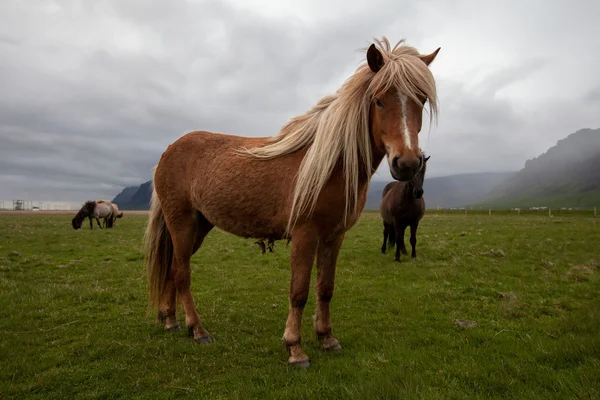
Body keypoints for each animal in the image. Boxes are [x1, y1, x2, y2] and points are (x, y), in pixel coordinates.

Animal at [142, 36, 440, 368]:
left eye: (421, 100)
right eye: (378, 100)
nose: (407, 163)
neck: (330, 164)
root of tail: (168, 151)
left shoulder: (334, 237)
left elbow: (325, 288)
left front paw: (326, 338)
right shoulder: (304, 234)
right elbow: (299, 291)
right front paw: (295, 349)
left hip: (198, 226)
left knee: (172, 269)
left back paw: (171, 320)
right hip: (181, 222)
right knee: (182, 273)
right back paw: (197, 329)